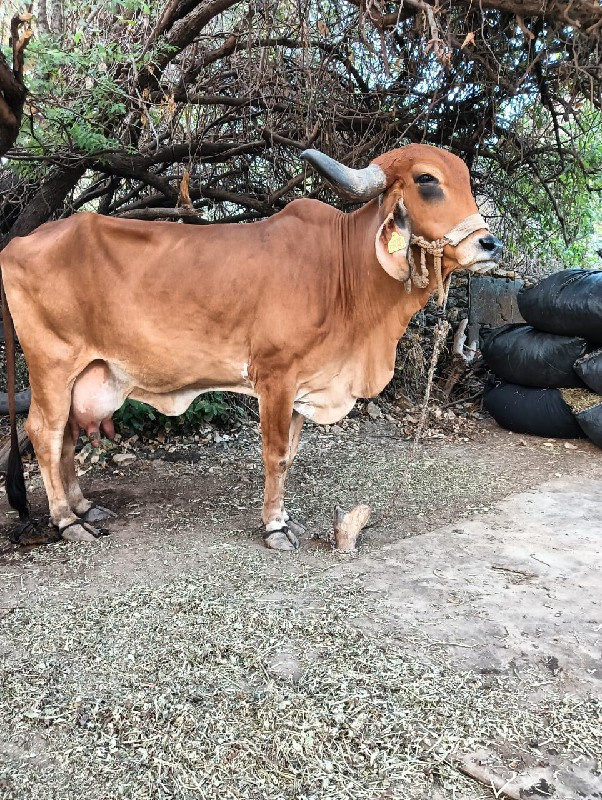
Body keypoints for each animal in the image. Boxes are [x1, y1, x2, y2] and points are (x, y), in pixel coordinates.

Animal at [1, 145, 502, 552]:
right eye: (427, 180)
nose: (490, 244)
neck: (342, 271)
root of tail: (17, 244)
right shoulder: (275, 378)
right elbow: (276, 455)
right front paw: (274, 527)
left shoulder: (304, 386)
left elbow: (291, 456)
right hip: (52, 364)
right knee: (45, 433)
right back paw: (67, 521)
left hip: (81, 372)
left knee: (66, 436)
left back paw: (83, 507)